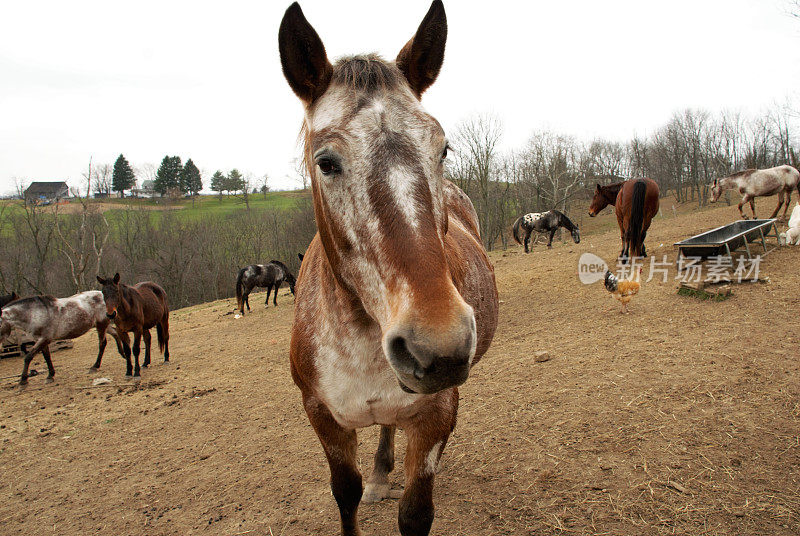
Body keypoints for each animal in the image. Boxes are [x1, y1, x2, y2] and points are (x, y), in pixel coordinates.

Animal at [278, 2, 496, 532]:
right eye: (326, 162)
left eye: (442, 148)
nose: (437, 346)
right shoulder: (322, 416)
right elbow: (346, 493)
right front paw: (368, 484)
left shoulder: (434, 414)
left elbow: (415, 512)